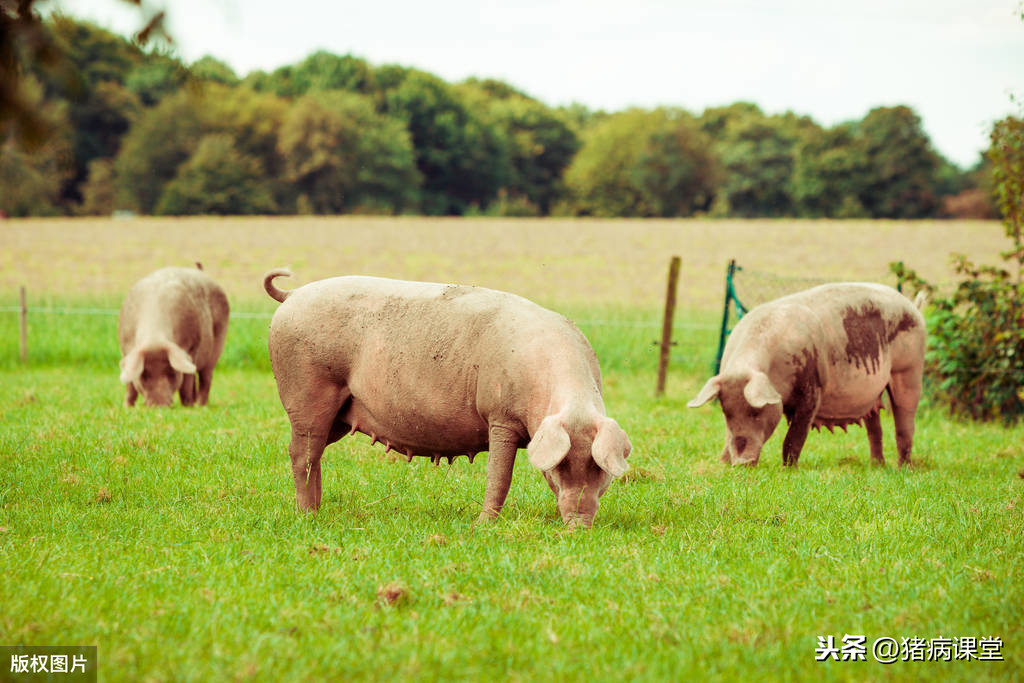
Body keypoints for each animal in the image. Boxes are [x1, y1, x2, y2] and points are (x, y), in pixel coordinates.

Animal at [117, 266, 230, 405]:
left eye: (172, 373)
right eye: (143, 375)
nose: (159, 405)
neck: (155, 338)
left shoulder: (192, 348)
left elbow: (186, 383)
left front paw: (187, 406)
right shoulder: (126, 351)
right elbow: (130, 385)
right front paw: (127, 406)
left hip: (217, 346)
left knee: (205, 378)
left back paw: (199, 405)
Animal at [264, 270, 630, 528]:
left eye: (599, 469)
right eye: (560, 465)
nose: (579, 526)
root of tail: (292, 294)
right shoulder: (500, 417)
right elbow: (500, 475)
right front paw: (482, 526)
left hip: (339, 414)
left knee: (314, 453)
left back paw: (316, 509)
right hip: (308, 389)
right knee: (301, 453)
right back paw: (307, 516)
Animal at [688, 284, 929, 471]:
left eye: (756, 412)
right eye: (725, 412)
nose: (742, 463)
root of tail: (913, 307)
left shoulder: (813, 388)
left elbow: (795, 436)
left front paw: (788, 470)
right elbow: (727, 437)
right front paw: (722, 465)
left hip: (909, 370)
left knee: (904, 425)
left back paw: (903, 469)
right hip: (874, 394)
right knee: (874, 428)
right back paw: (876, 466)